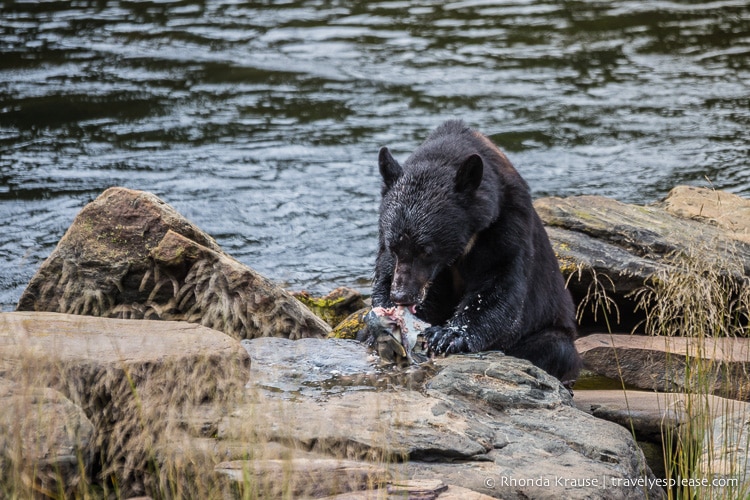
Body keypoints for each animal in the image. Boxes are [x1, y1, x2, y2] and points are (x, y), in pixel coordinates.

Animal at [374, 119, 584, 384]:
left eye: (426, 250)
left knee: (556, 349)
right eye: (395, 247)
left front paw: (448, 335)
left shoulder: (508, 222)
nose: (401, 296)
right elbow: (388, 272)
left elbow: (499, 283)